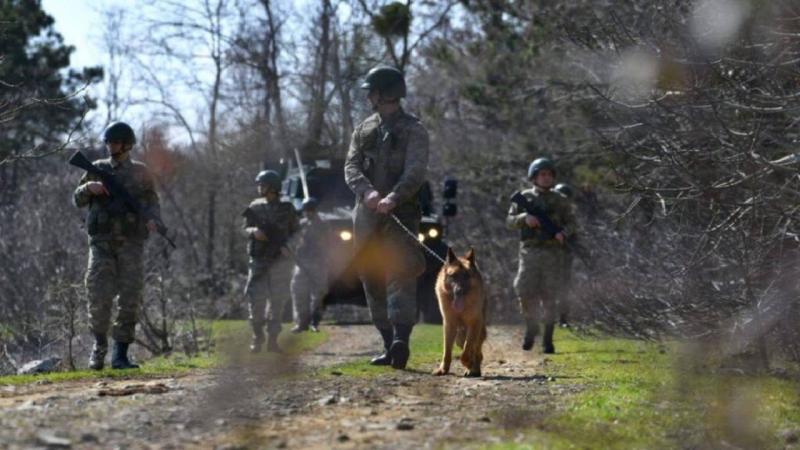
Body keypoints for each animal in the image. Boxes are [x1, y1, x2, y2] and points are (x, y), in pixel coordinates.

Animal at [432, 248, 488, 378]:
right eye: (453, 276)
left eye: (467, 276)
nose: (459, 290)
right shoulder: (449, 325)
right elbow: (447, 351)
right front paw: (443, 370)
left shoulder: (474, 324)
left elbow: (467, 350)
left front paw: (468, 363)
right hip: (459, 337)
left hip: (476, 332)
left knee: (477, 351)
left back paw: (474, 369)